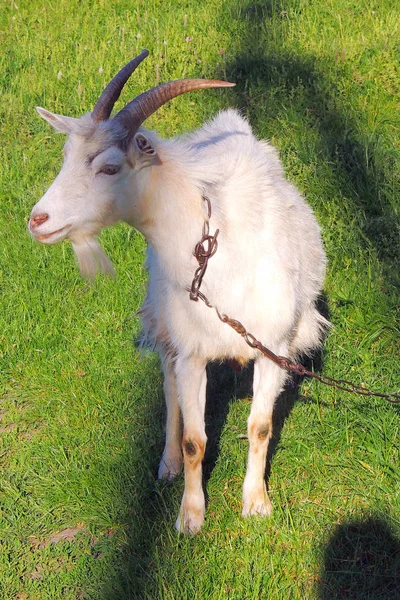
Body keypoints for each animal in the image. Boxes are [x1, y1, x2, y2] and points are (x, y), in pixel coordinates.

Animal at [28, 49, 328, 532]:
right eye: (66, 156)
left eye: (109, 166)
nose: (37, 220)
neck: (214, 252)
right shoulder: (192, 353)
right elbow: (193, 437)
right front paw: (190, 516)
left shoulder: (274, 346)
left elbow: (260, 426)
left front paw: (256, 504)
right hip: (166, 322)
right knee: (169, 390)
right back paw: (166, 465)